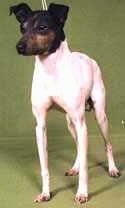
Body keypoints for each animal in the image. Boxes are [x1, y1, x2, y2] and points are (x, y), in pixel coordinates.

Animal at [9, 2, 120, 203]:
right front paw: (46, 193)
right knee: (79, 147)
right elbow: (45, 168)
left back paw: (113, 169)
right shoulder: (40, 126)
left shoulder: (81, 123)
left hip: (100, 116)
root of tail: (88, 58)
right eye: (22, 28)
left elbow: (85, 167)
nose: (19, 46)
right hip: (70, 123)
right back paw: (75, 166)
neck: (51, 70)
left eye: (42, 27)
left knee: (106, 144)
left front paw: (82, 193)